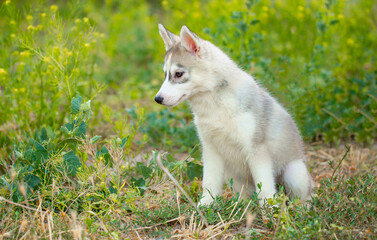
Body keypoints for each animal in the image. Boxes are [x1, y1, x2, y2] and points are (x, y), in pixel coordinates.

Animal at [153, 24, 312, 206]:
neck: (215, 105)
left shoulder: (256, 149)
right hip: (233, 174)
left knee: (303, 195)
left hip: (294, 173)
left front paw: (270, 208)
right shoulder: (210, 148)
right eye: (165, 74)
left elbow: (265, 186)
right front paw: (205, 205)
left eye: (178, 74)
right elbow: (209, 182)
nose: (158, 99)